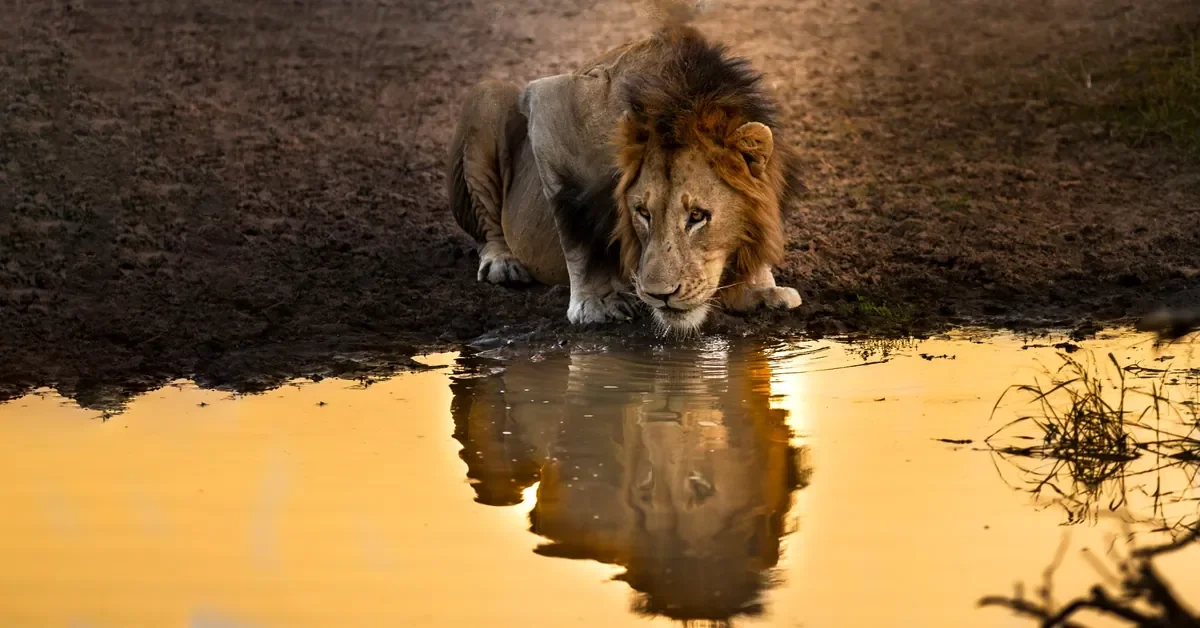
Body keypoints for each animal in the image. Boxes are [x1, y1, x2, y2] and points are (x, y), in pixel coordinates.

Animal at [446, 0, 803, 335]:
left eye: (698, 216)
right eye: (642, 213)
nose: (661, 295)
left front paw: (759, 290)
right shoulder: (551, 101)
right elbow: (575, 228)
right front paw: (596, 303)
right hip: (488, 96)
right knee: (489, 228)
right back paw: (502, 262)